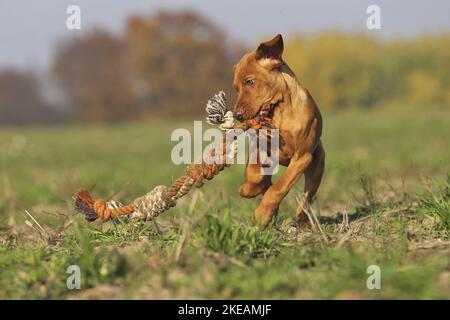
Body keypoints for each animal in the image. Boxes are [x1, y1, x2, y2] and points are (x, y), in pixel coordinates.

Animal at [234, 33, 326, 226]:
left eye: (250, 82)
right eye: (236, 88)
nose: (237, 115)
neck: (280, 112)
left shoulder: (301, 158)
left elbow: (279, 188)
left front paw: (260, 216)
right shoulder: (260, 146)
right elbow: (253, 173)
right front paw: (249, 188)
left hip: (317, 166)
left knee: (307, 198)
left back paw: (303, 219)